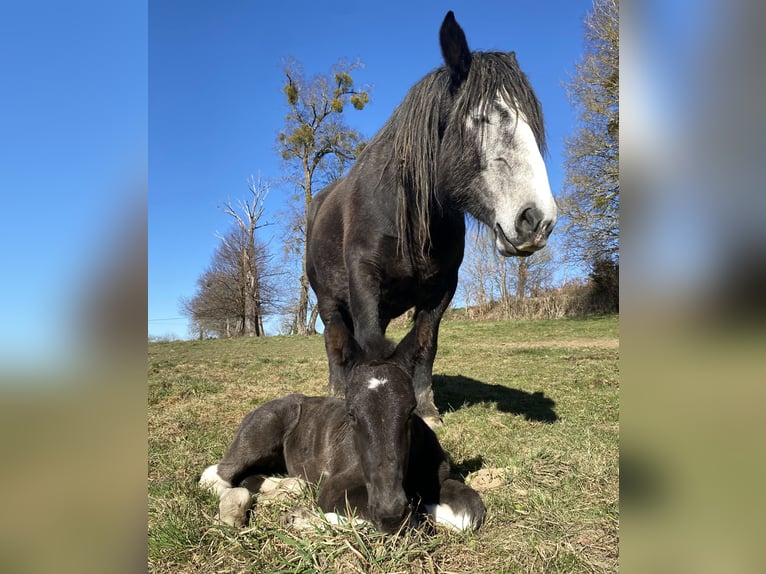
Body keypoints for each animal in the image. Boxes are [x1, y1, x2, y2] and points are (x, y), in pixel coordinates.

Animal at [198, 324, 486, 536]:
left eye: (411, 410)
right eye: (351, 412)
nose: (390, 510)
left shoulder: (439, 480)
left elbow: (470, 512)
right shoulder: (337, 488)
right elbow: (406, 522)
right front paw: (301, 518)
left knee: (253, 478)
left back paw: (290, 487)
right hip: (260, 434)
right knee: (216, 477)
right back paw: (234, 510)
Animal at [306, 11, 560, 428]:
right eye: (480, 118)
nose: (538, 220)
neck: (404, 211)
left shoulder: (442, 289)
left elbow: (424, 344)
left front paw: (425, 409)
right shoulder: (363, 280)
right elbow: (369, 347)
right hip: (328, 301)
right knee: (337, 343)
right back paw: (337, 392)